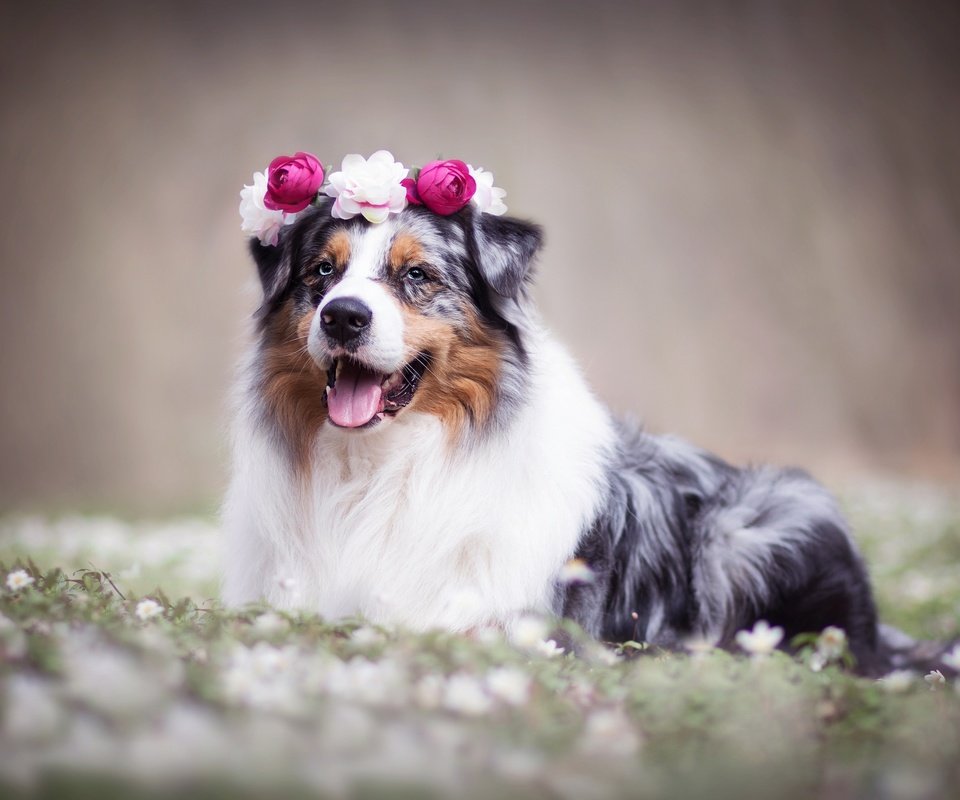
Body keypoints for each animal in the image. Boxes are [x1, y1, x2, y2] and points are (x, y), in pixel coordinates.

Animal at [223, 192, 952, 676]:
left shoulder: (522, 625)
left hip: (765, 516)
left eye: (417, 275)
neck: (377, 464)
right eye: (322, 272)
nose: (343, 316)